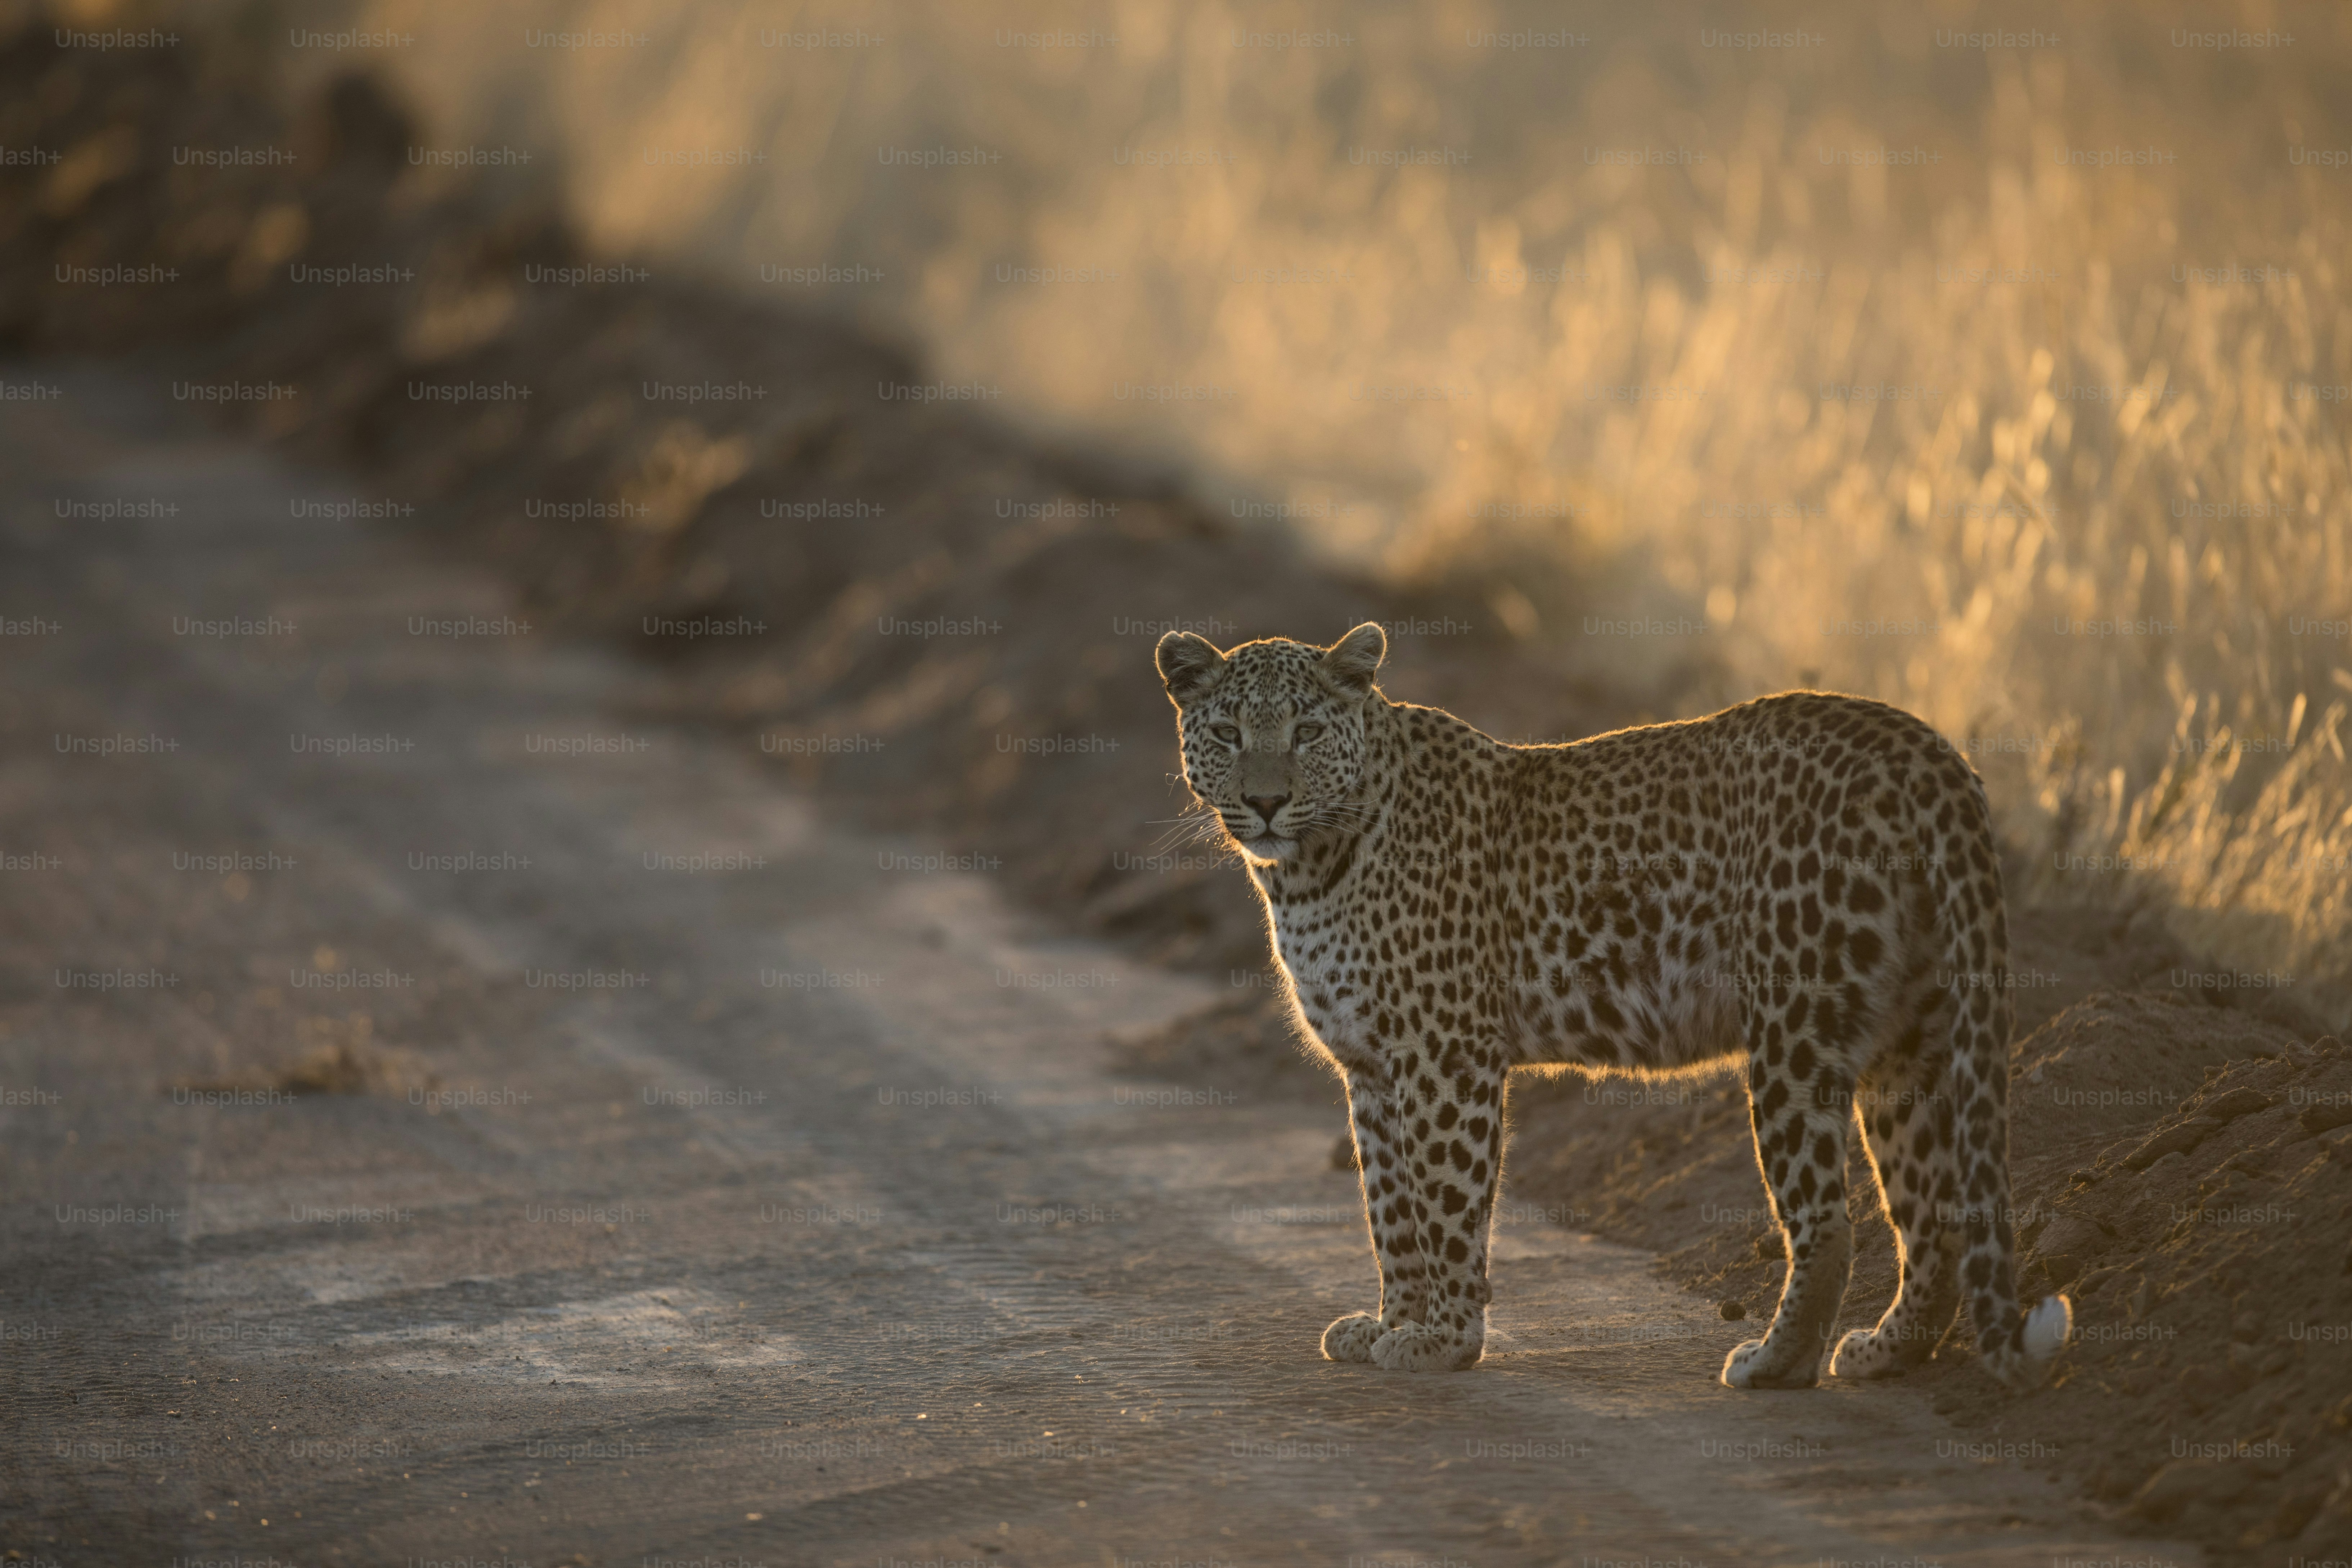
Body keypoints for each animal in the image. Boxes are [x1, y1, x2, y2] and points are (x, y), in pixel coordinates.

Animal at [1154, 621, 2072, 1390]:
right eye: (1227, 733)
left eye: (1307, 733)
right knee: (1934, 1209)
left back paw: (1773, 1363)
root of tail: (1920, 745)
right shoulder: (1372, 1069)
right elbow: (1390, 1210)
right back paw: (1888, 1351)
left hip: (1793, 1028)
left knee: (1827, 1221)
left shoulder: (1445, 1056)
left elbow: (1444, 1200)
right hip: (1905, 1034)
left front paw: (1443, 1340)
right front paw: (1390, 1322)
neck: (1304, 871)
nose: (1266, 802)